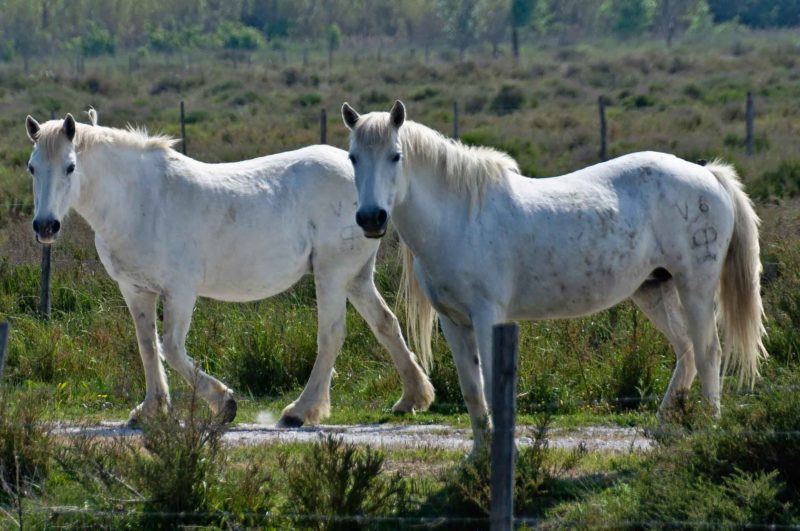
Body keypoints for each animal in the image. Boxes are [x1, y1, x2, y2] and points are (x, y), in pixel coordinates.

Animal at [25, 111, 434, 428]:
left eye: (70, 166)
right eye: (32, 168)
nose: (45, 227)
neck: (140, 199)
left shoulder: (180, 291)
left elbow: (171, 348)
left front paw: (223, 404)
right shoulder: (135, 290)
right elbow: (147, 347)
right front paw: (152, 410)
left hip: (331, 275)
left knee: (331, 335)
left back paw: (300, 410)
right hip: (356, 277)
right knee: (386, 323)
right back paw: (413, 397)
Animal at [344, 101, 768, 458]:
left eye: (395, 155)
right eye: (353, 157)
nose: (370, 218)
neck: (460, 216)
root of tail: (707, 173)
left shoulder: (488, 317)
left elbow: (492, 386)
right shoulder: (454, 322)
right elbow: (472, 390)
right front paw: (479, 456)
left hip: (695, 286)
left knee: (709, 351)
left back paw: (708, 429)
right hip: (653, 289)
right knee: (686, 349)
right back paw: (664, 426)